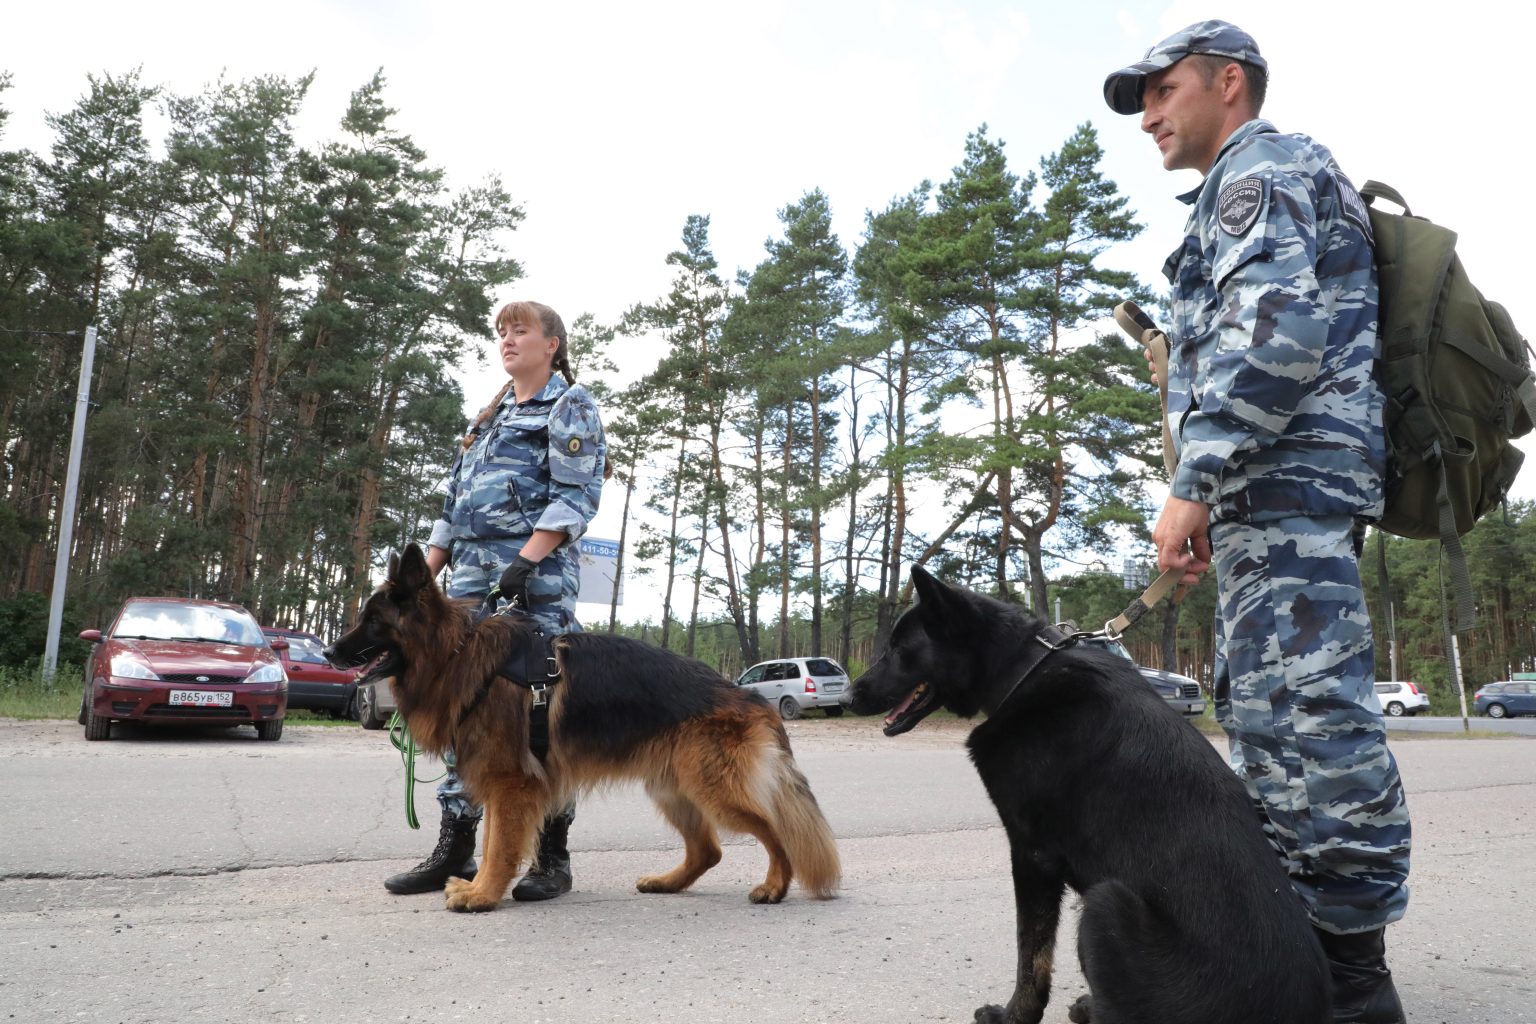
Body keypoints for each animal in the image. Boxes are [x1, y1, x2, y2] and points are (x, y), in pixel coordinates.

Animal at [324, 543, 841, 914]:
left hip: (712, 790)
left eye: (373, 621)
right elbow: (491, 842)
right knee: (708, 851)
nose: (328, 652)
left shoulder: (510, 785)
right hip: (673, 788)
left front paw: (482, 894)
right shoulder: (503, 784)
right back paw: (668, 883)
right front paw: (478, 887)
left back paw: (774, 887)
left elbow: (498, 847)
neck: (458, 653)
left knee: (775, 830)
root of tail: (750, 695)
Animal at [847, 568, 1327, 1024]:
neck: (1023, 670)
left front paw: (1013, 1016)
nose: (848, 694)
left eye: (897, 649)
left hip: (1104, 905)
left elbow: (1031, 955)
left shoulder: (1031, 855)